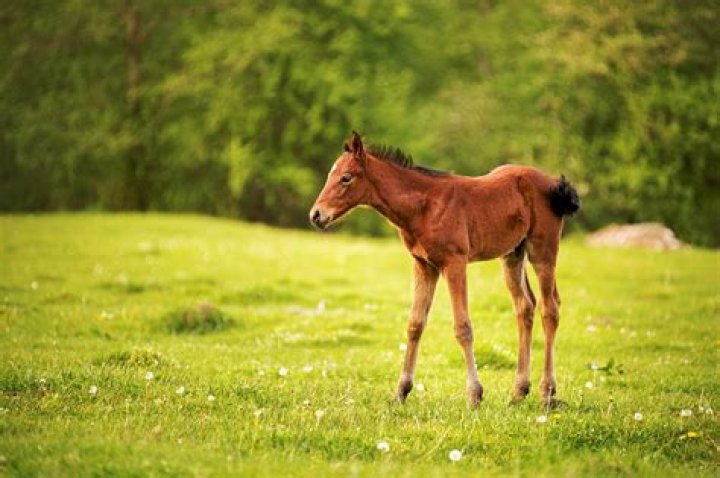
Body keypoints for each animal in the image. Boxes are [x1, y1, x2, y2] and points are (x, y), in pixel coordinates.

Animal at [309, 132, 580, 408]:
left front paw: (474, 395)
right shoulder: (423, 265)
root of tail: (554, 183)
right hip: (513, 255)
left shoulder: (454, 262)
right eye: (331, 175)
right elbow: (415, 324)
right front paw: (401, 392)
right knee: (525, 306)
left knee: (550, 309)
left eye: (346, 177)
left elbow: (463, 327)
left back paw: (547, 392)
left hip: (542, 250)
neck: (424, 207)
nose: (316, 215)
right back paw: (518, 392)